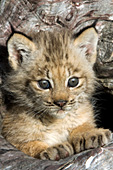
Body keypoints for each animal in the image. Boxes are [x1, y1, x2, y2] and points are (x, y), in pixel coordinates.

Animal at [1, 27, 111, 160]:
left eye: (73, 81)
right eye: (44, 84)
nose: (61, 103)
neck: (57, 121)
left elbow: (81, 125)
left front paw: (90, 133)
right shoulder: (10, 137)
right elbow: (26, 144)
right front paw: (51, 148)